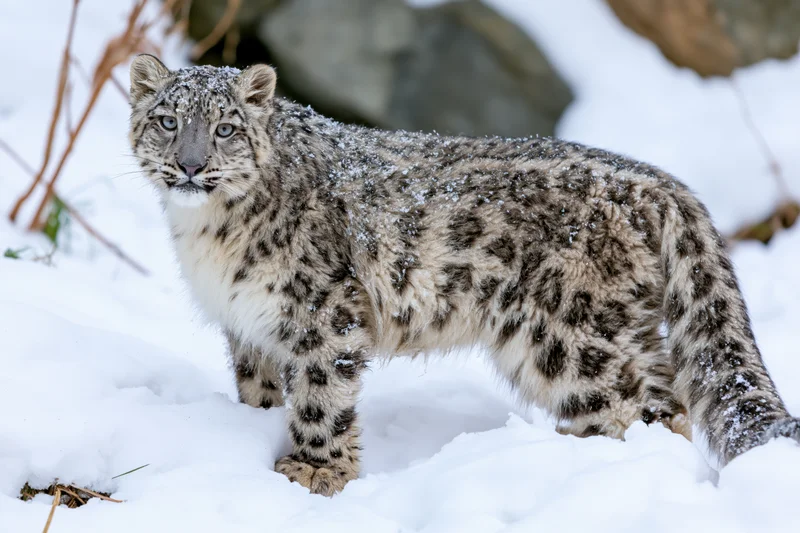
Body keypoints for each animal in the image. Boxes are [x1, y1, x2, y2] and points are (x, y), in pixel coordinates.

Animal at [128, 54, 800, 496]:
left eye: (225, 127)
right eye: (168, 121)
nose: (191, 165)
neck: (209, 235)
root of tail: (655, 181)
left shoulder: (324, 314)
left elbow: (321, 397)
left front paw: (313, 472)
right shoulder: (249, 324)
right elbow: (261, 389)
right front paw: (259, 429)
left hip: (568, 338)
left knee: (636, 407)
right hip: (618, 330)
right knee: (663, 396)